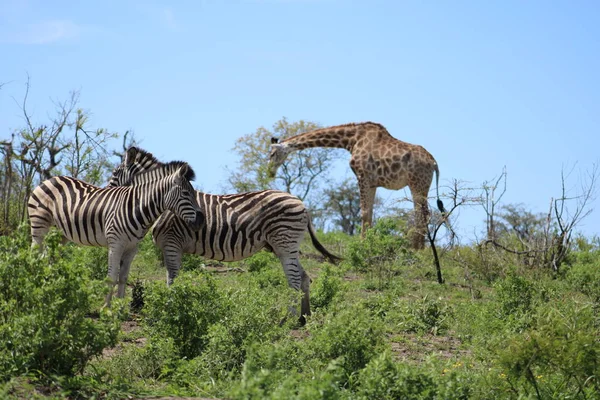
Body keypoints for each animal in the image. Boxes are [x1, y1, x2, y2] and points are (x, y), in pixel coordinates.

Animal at [28, 159, 204, 304]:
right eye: (186, 193)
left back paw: (52, 289)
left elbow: (123, 277)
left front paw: (119, 309)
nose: (202, 220)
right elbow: (112, 277)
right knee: (35, 254)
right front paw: (106, 308)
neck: (136, 207)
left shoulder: (132, 248)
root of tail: (50, 179)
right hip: (39, 224)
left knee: (50, 258)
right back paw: (34, 285)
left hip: (61, 234)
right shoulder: (116, 244)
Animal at [109, 147, 342, 322]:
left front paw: (169, 310)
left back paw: (289, 319)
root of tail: (301, 203)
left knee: (293, 279)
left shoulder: (171, 242)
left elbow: (171, 278)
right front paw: (177, 307)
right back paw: (304, 317)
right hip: (285, 247)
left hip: (285, 243)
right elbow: (176, 278)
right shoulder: (176, 246)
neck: (165, 203)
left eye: (114, 175)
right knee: (303, 277)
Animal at [268, 121, 446, 250]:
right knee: (422, 212)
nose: (269, 172)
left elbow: (364, 212)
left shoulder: (363, 176)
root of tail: (434, 163)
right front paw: (369, 242)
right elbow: (370, 212)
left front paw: (362, 244)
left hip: (417, 183)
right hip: (420, 185)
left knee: (422, 212)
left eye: (273, 153)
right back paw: (419, 247)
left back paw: (416, 248)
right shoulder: (372, 183)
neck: (351, 140)